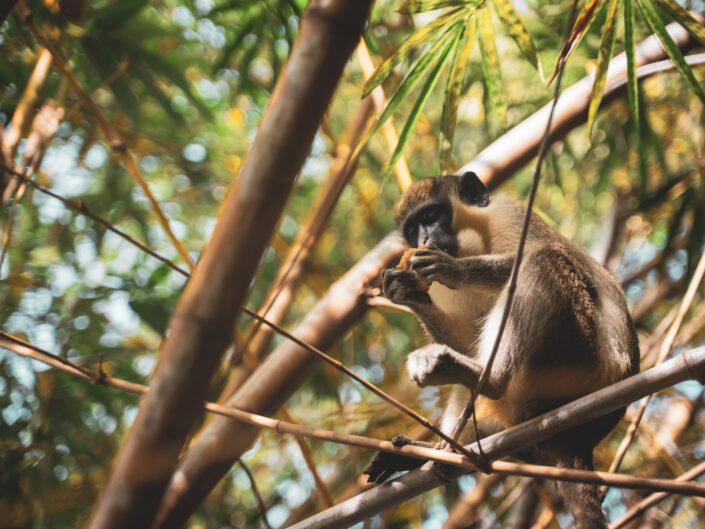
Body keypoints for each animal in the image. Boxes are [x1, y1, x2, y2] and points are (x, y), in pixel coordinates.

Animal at [364, 171, 640, 524]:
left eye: (431, 215)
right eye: (413, 229)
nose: (424, 237)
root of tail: (581, 441)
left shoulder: (509, 216)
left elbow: (541, 252)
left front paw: (454, 269)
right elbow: (468, 341)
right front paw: (404, 292)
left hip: (577, 362)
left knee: (543, 259)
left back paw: (488, 378)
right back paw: (439, 452)